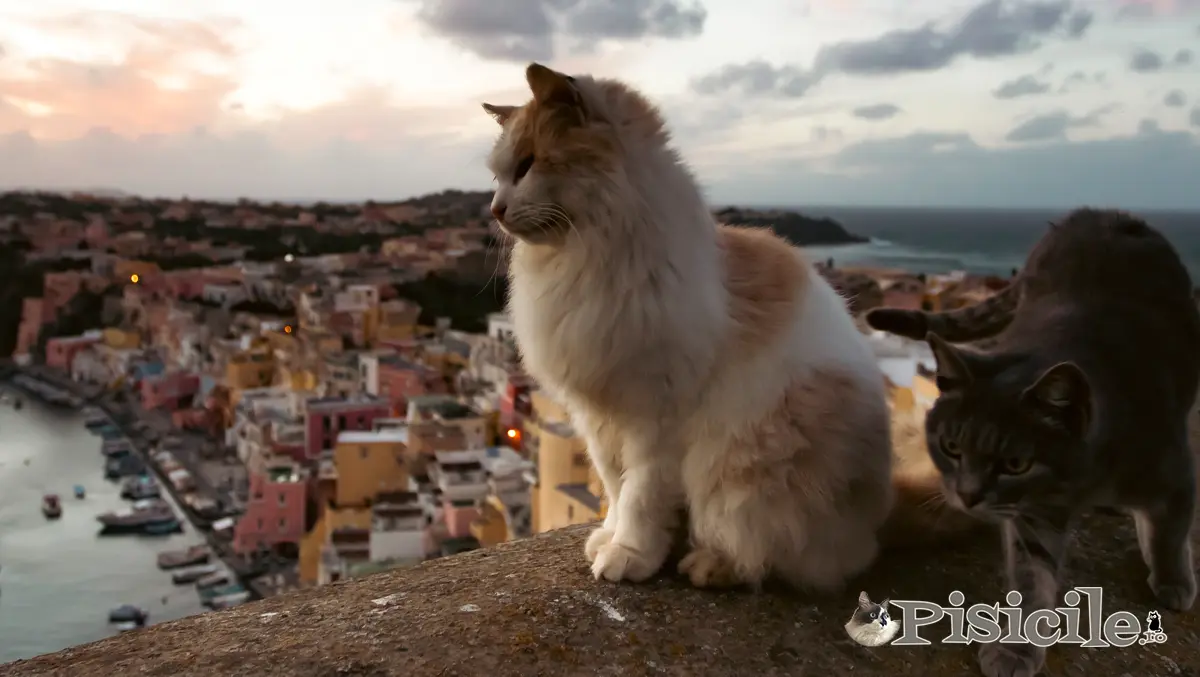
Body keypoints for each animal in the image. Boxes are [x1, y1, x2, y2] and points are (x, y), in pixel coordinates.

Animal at [480, 64, 974, 592]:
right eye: (497, 177)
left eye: (527, 166)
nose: (494, 209)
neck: (584, 258)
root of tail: (882, 514)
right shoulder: (596, 417)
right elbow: (614, 486)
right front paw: (608, 538)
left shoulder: (653, 421)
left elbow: (639, 497)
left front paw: (630, 555)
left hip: (746, 481)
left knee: (782, 558)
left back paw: (709, 565)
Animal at [868, 206, 1195, 677]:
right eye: (951, 448)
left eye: (1015, 464)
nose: (967, 496)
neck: (1077, 482)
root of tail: (1097, 213)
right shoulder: (1031, 518)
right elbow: (1031, 580)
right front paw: (1016, 646)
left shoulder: (1173, 469)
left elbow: (1171, 528)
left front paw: (1173, 580)